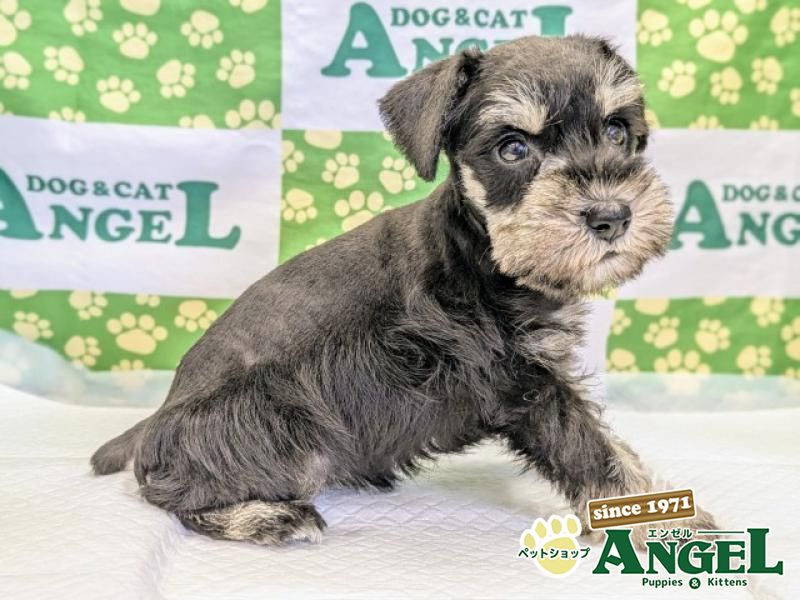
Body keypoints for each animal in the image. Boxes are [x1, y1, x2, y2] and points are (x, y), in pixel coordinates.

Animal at [92, 34, 716, 546]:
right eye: (513, 148)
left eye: (617, 130)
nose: (612, 216)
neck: (481, 252)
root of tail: (159, 419)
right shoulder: (522, 383)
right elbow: (590, 450)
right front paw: (666, 523)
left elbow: (611, 445)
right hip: (289, 434)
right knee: (171, 494)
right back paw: (269, 517)